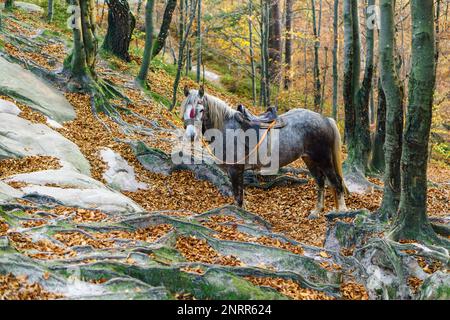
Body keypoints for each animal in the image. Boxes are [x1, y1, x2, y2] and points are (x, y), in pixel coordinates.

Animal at [179, 86, 348, 216]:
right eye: (185, 109)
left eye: (201, 110)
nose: (191, 135)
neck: (227, 129)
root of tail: (325, 119)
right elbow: (239, 196)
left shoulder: (235, 170)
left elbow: (238, 197)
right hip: (310, 159)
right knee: (320, 181)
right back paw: (316, 211)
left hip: (324, 159)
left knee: (335, 181)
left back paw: (341, 211)